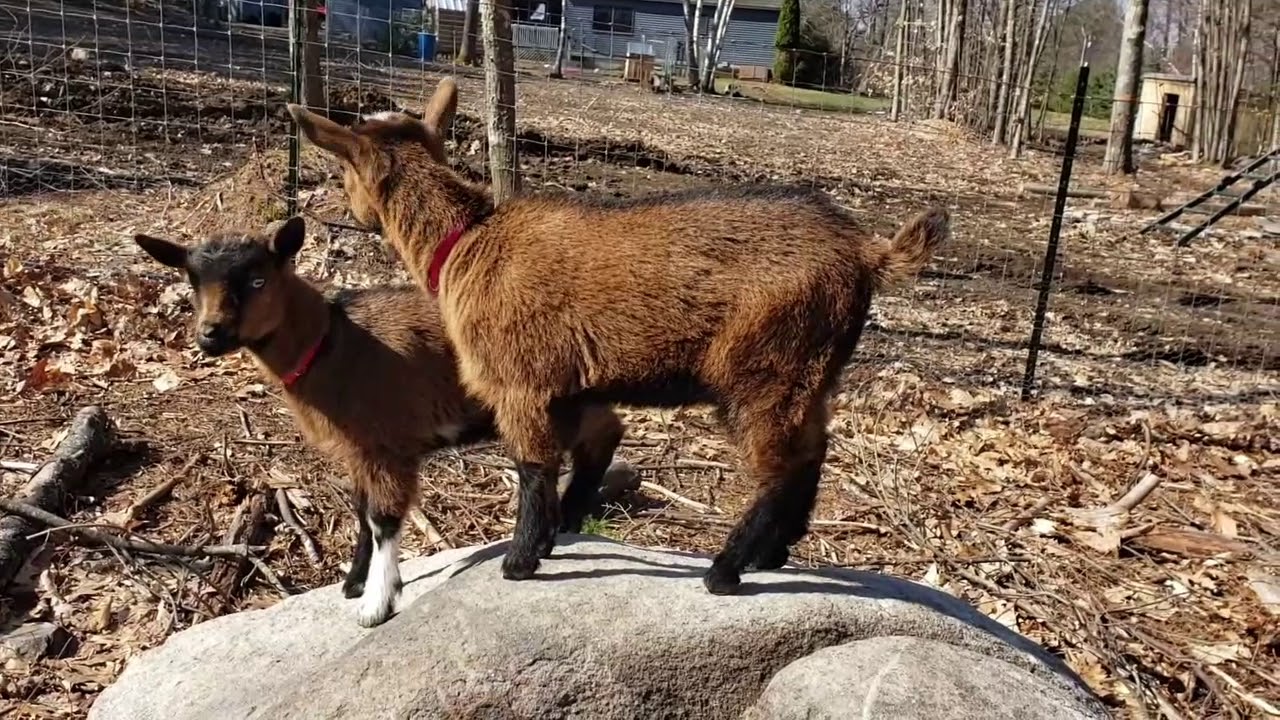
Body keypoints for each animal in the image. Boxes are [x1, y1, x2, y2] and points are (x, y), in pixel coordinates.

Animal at [133, 216, 625, 625]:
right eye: (192, 281)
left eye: (258, 279)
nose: (210, 335)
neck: (332, 343)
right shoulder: (357, 450)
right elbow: (359, 511)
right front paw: (354, 583)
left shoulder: (388, 443)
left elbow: (383, 518)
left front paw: (376, 604)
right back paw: (553, 532)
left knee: (584, 444)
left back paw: (547, 538)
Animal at [286, 78, 951, 595]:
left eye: (344, 171)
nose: (349, 210)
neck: (468, 240)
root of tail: (867, 252)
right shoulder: (572, 388)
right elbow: (586, 456)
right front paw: (555, 537)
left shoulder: (522, 383)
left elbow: (533, 467)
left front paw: (521, 561)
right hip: (813, 374)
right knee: (812, 455)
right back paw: (772, 554)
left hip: (768, 369)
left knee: (779, 467)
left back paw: (726, 570)